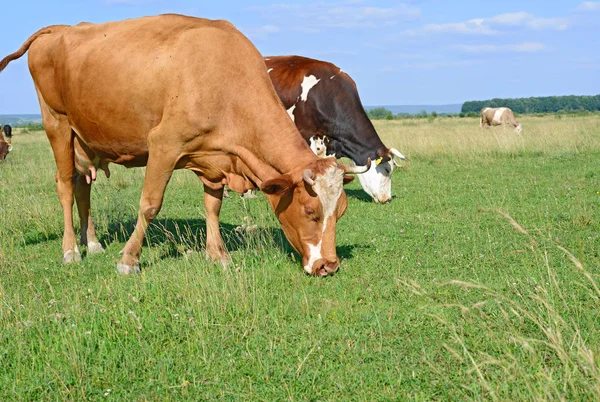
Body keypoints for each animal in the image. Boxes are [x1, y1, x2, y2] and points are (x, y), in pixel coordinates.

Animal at [0, 13, 368, 276]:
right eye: (310, 211)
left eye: (342, 211)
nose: (328, 266)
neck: (225, 79)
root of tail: (57, 28)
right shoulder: (164, 145)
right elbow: (150, 204)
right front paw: (129, 259)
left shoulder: (216, 156)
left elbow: (213, 207)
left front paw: (218, 255)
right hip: (57, 123)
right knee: (64, 186)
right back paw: (71, 250)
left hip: (86, 138)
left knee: (82, 187)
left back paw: (91, 243)